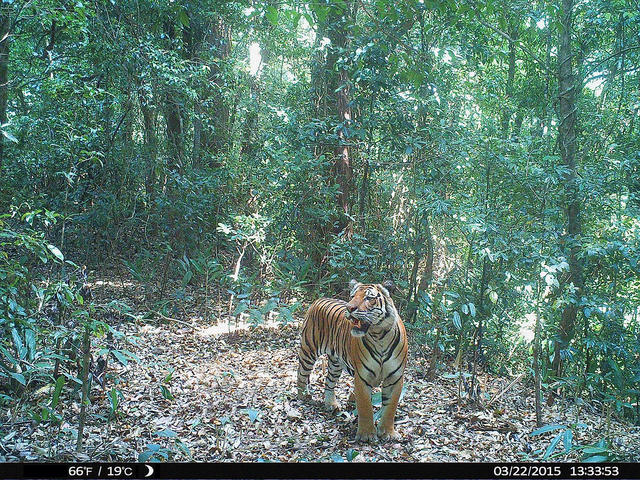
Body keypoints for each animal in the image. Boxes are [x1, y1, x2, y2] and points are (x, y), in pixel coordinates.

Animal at [298, 282, 408, 442]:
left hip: (335, 363)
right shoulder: (362, 376)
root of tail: (319, 299)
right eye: (352, 296)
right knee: (301, 374)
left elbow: (390, 407)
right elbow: (365, 406)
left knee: (329, 382)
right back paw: (303, 396)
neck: (380, 336)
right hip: (308, 351)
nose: (349, 308)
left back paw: (331, 404)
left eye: (369, 298)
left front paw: (388, 433)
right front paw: (367, 434)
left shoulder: (395, 378)